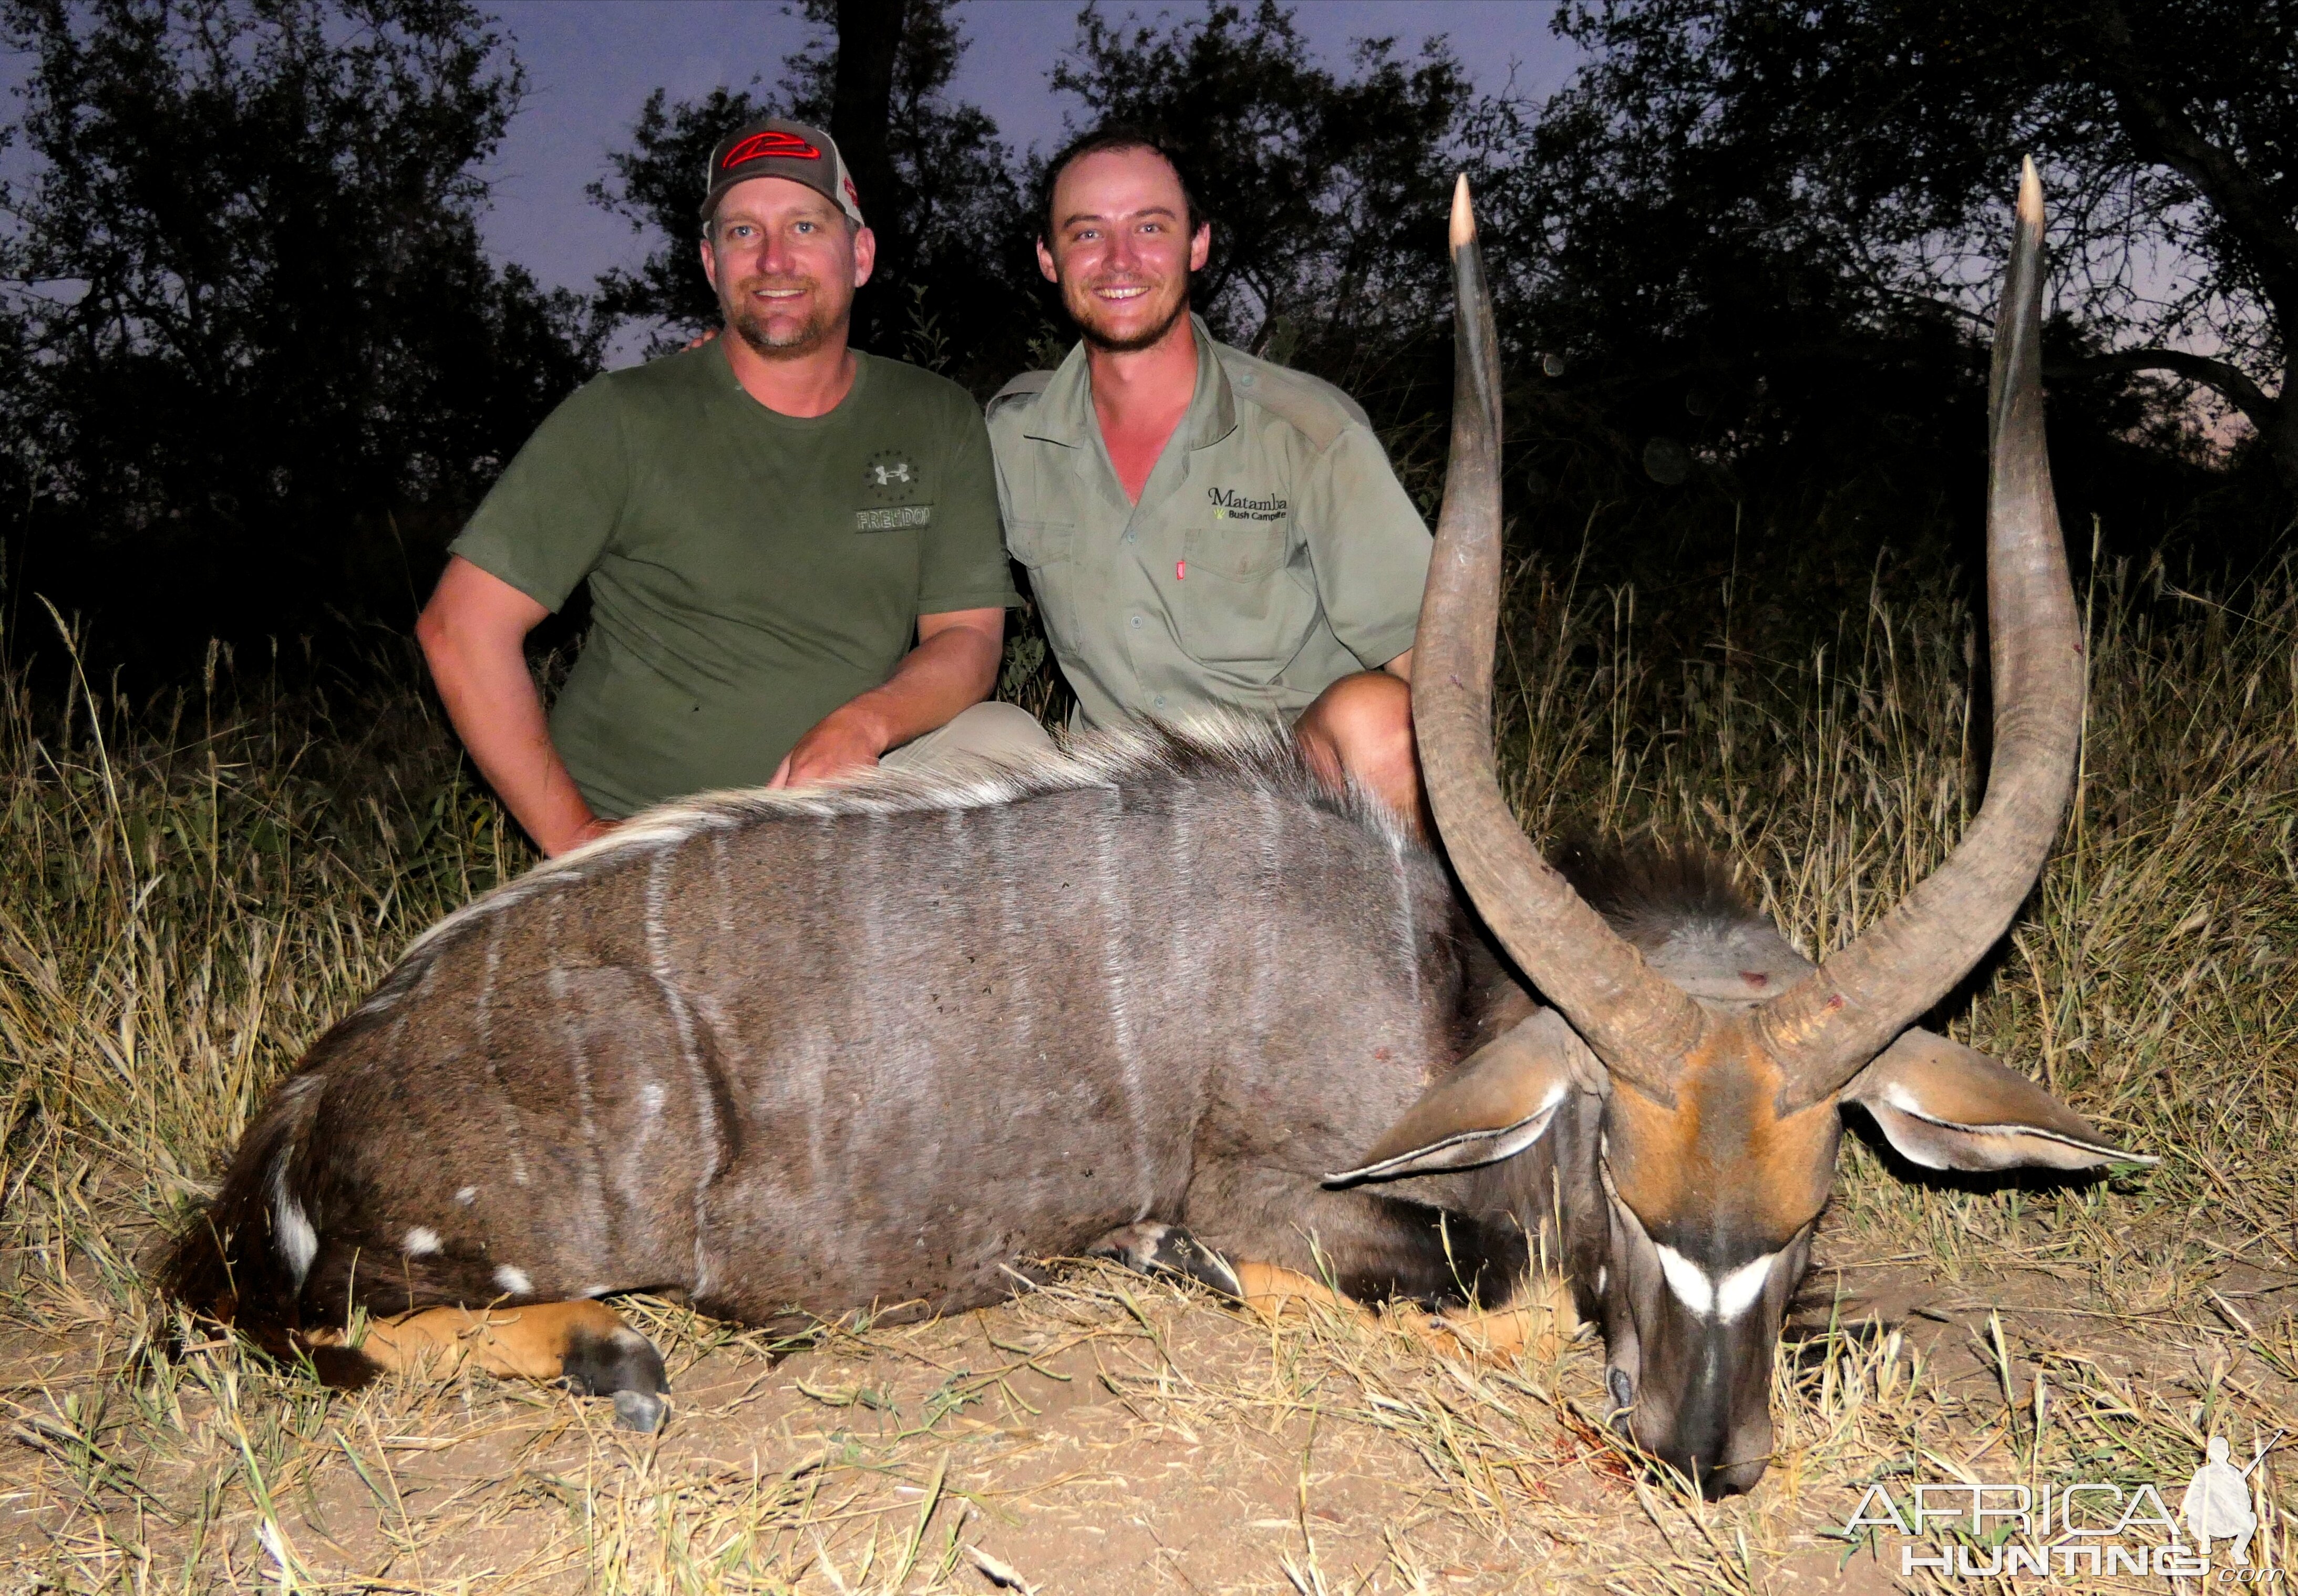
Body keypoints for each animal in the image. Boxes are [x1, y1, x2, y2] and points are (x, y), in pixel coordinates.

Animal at [157, 166, 2132, 1499]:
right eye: (1629, 1191)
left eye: (1804, 1207)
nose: (1698, 1451)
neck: (1437, 984)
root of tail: (292, 1122)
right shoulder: (1296, 1208)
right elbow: (1456, 1293)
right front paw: (1183, 1264)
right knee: (336, 1325)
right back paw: (613, 1354)